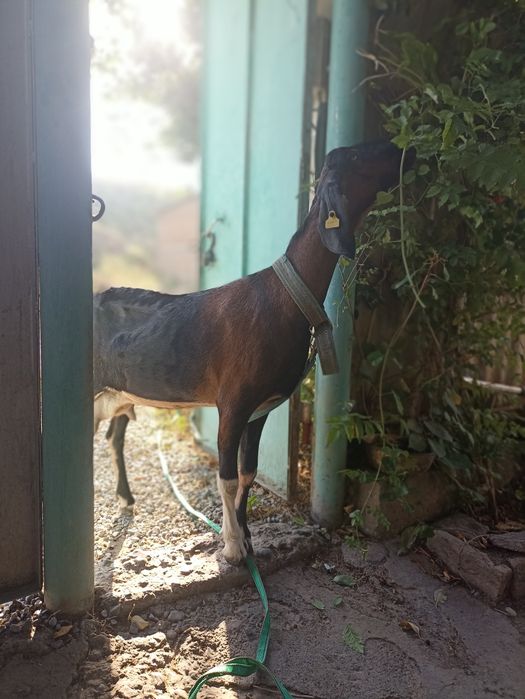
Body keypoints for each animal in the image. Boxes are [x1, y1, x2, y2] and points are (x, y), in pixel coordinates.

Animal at [94, 140, 410, 564]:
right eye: (359, 156)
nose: (400, 150)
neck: (286, 298)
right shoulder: (233, 403)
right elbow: (226, 477)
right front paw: (230, 549)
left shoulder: (261, 409)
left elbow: (249, 472)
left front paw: (246, 538)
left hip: (120, 395)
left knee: (116, 436)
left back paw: (126, 498)